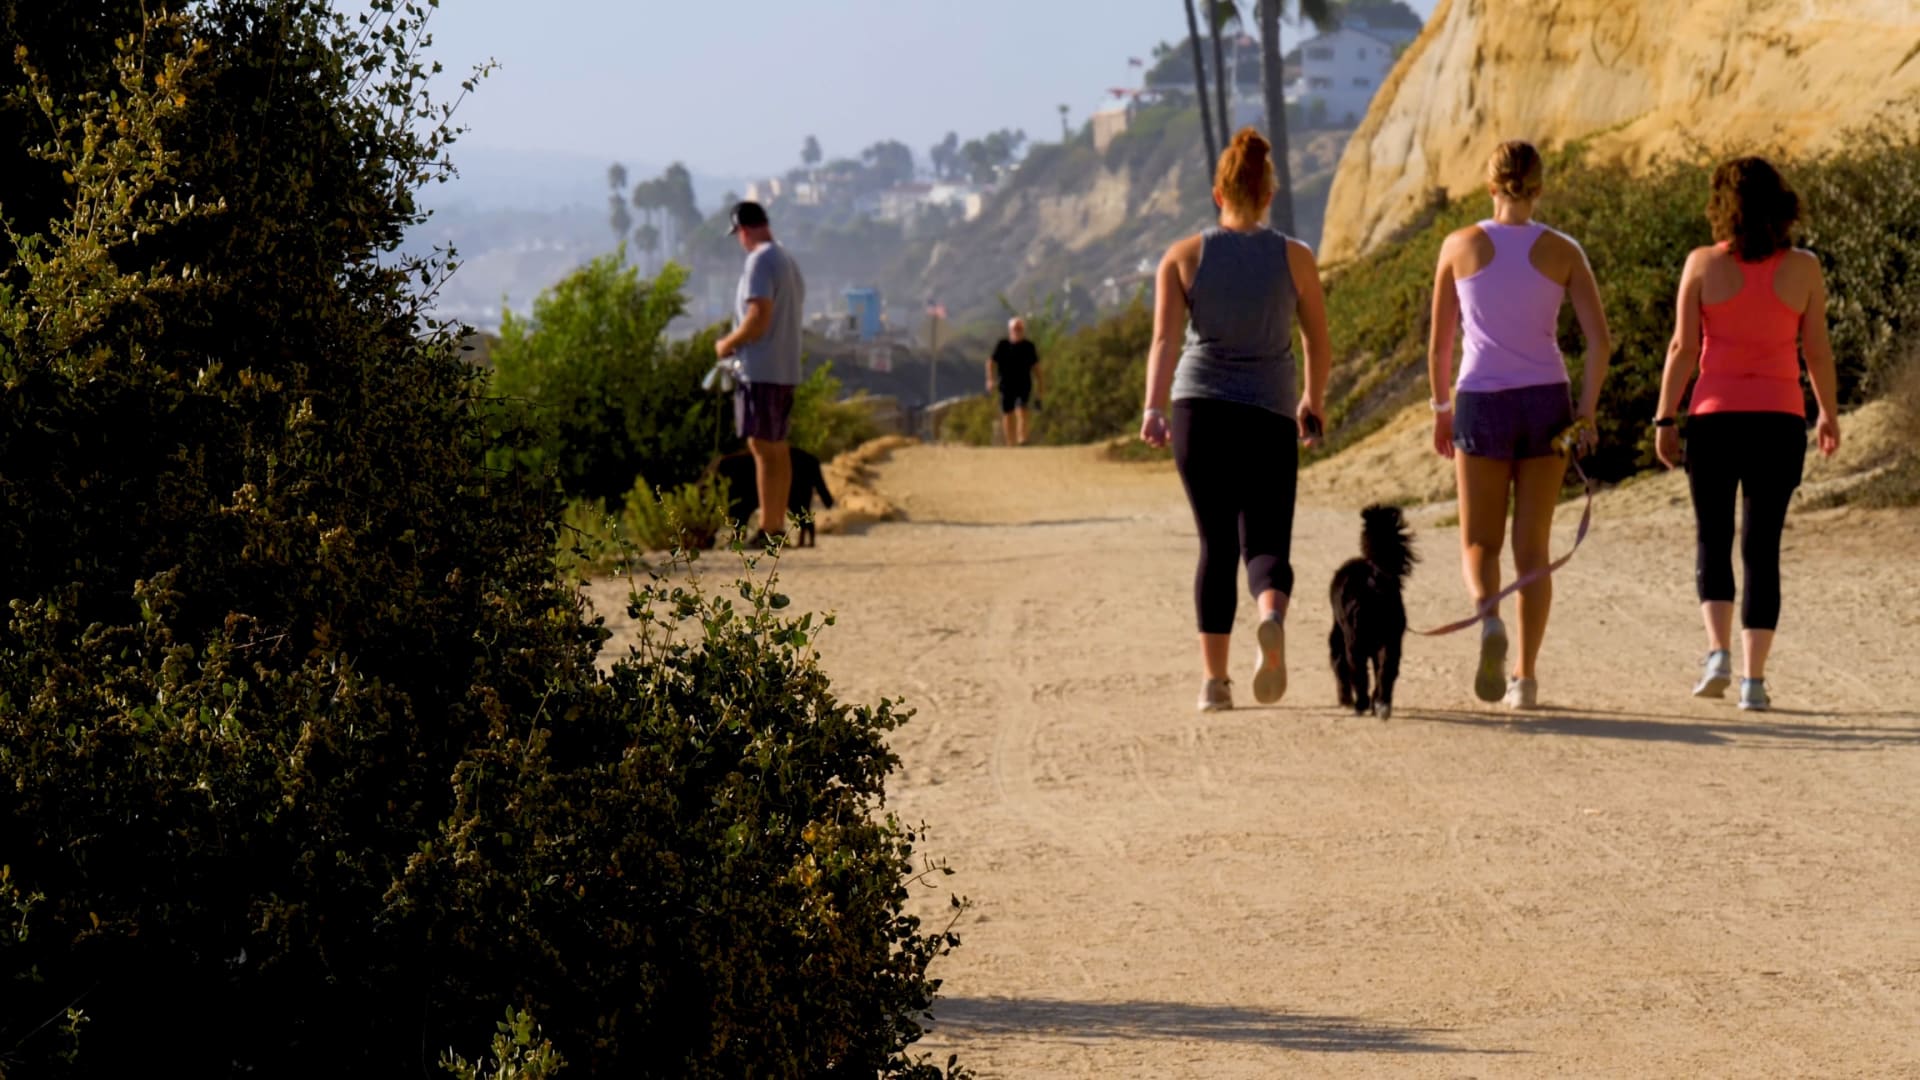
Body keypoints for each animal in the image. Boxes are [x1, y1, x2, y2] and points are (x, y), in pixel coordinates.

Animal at [1328, 503, 1420, 714]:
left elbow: (1351, 673)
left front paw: (1349, 699)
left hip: (1357, 645)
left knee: (1361, 675)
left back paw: (1362, 704)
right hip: (1391, 641)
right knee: (1387, 672)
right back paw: (1381, 704)